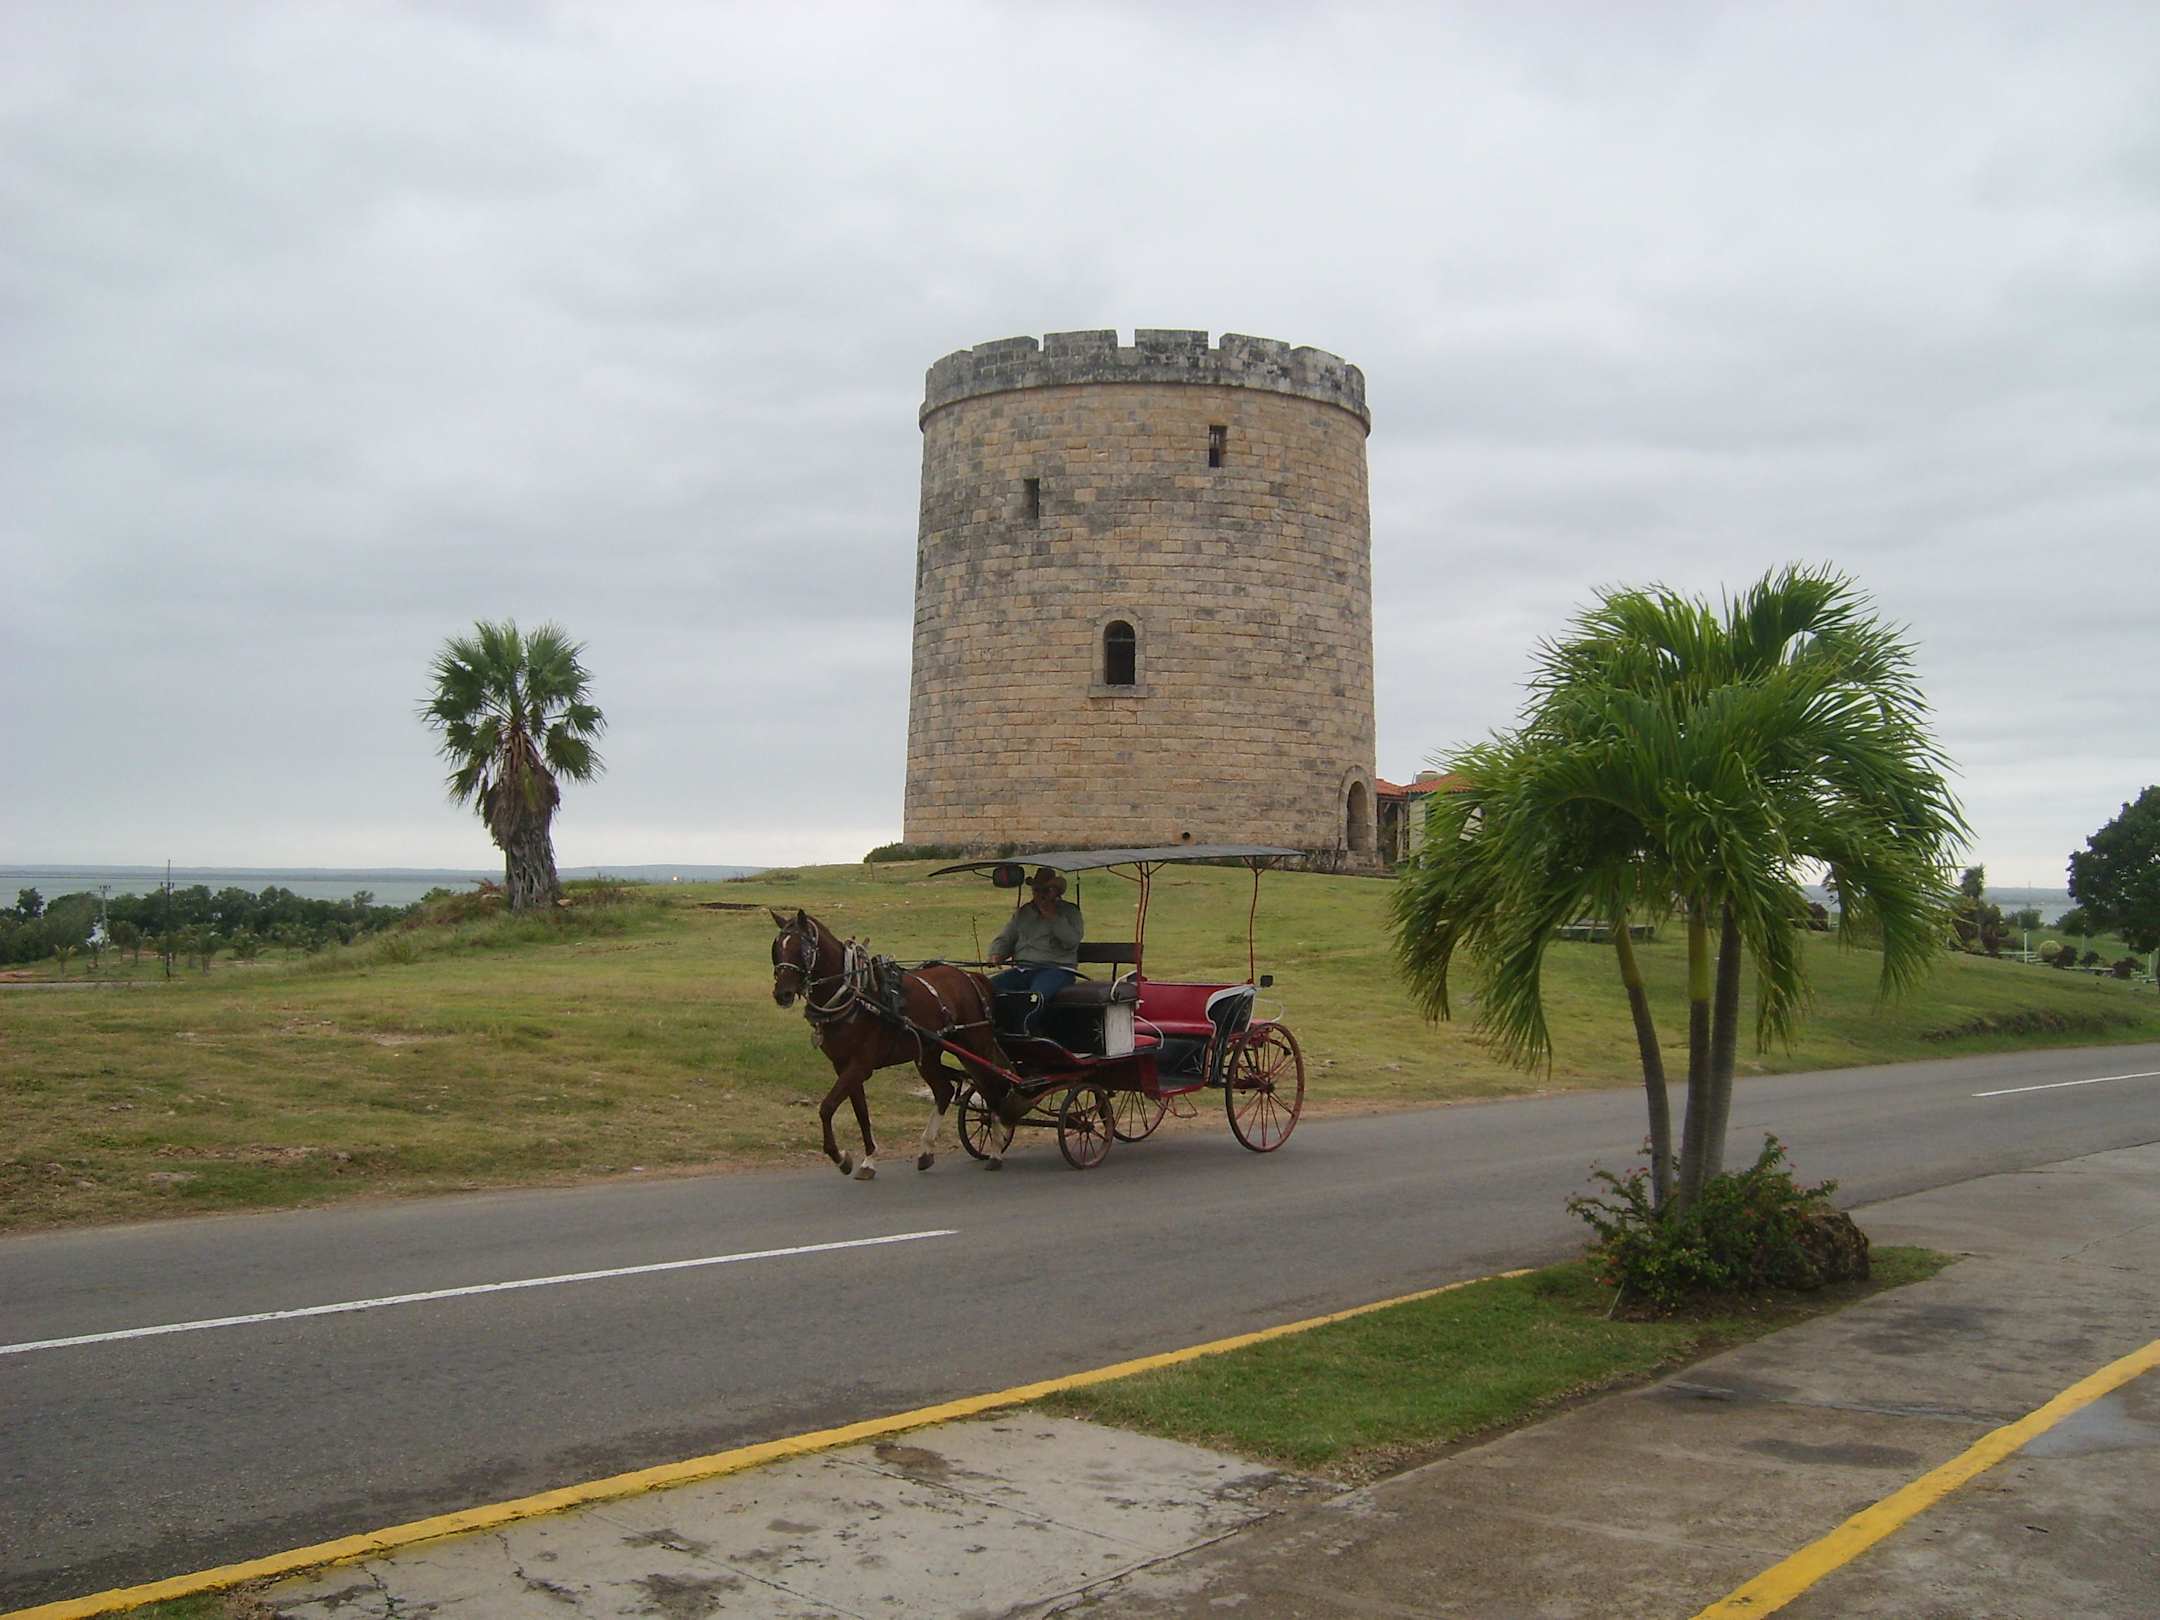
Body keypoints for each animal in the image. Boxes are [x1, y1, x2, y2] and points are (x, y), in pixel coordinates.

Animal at [768, 908, 1011, 1178]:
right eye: (777, 949)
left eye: (802, 950)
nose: (782, 994)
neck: (855, 995)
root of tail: (970, 976)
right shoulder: (843, 1066)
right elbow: (861, 1113)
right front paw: (868, 1160)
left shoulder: (861, 1065)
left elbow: (827, 1107)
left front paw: (840, 1158)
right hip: (929, 1052)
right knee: (945, 1090)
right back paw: (926, 1150)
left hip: (975, 1045)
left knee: (992, 1085)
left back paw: (996, 1149)